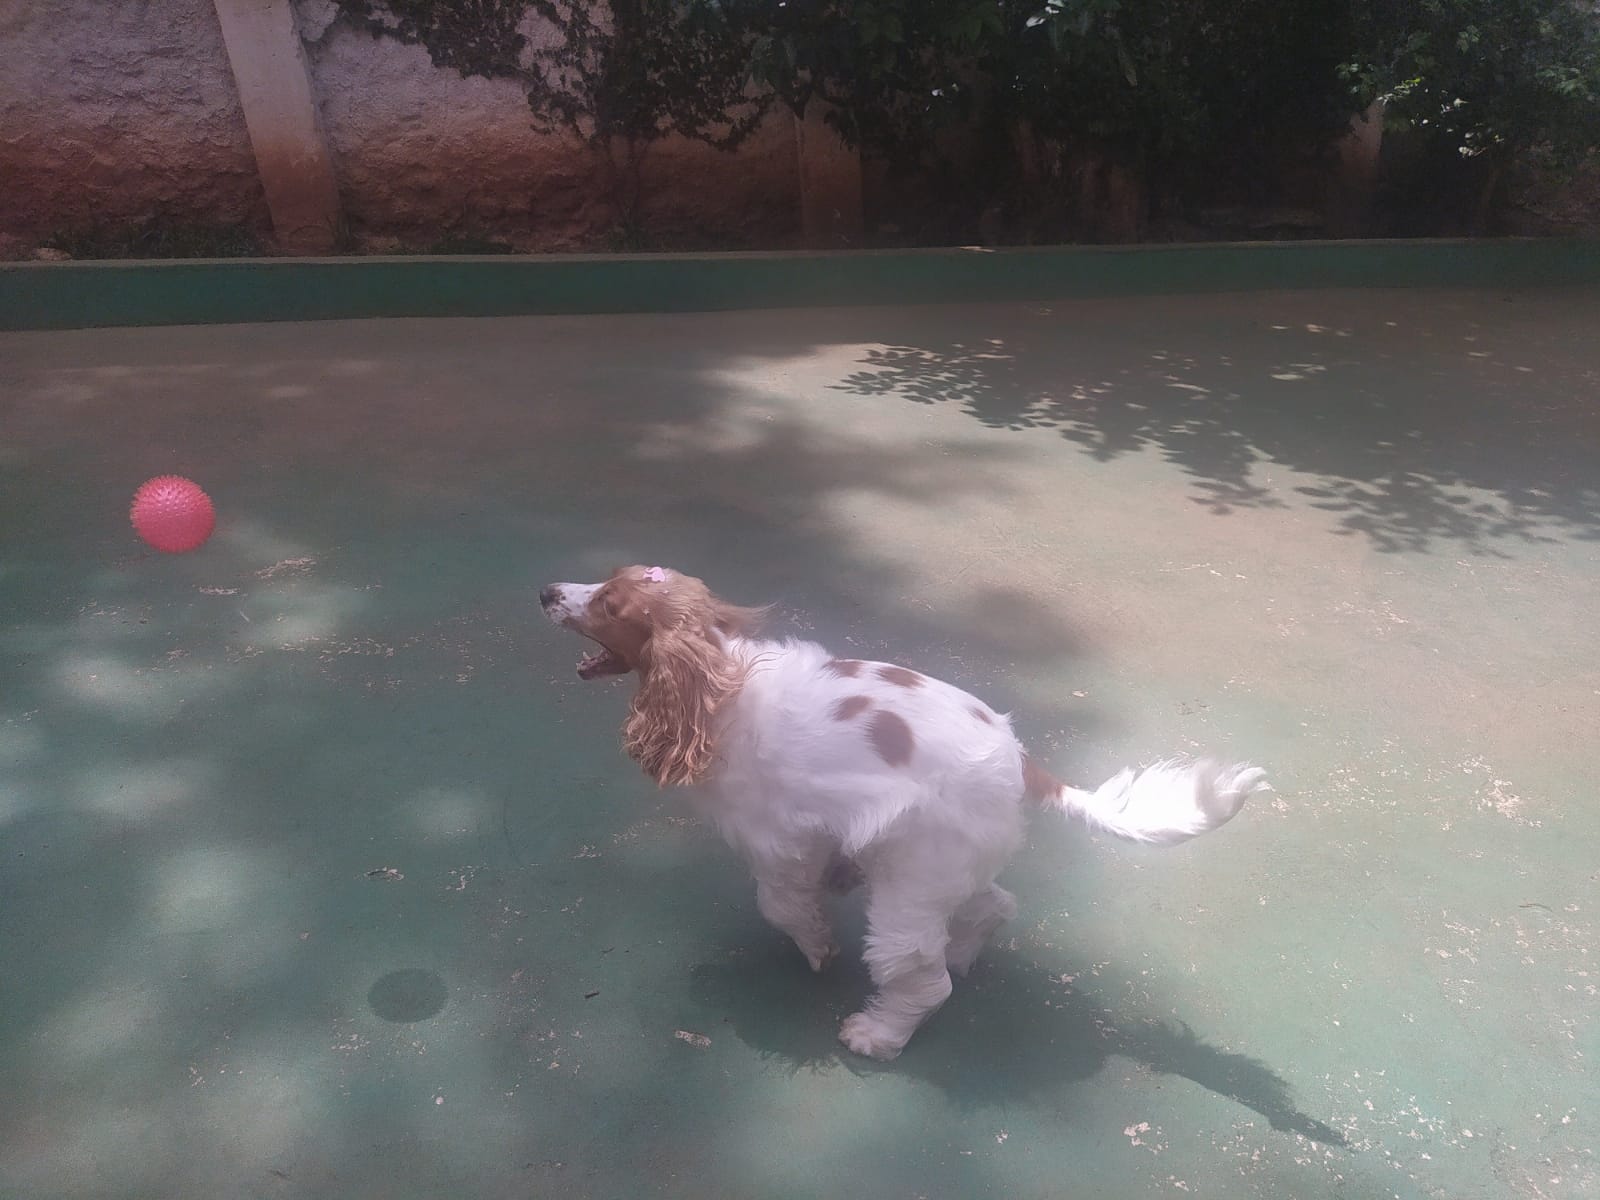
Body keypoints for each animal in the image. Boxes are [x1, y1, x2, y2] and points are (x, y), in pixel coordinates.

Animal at [542, 565, 1266, 1060]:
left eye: (607, 605)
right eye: (608, 581)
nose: (548, 591)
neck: (719, 681)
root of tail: (1021, 760)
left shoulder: (779, 838)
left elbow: (783, 906)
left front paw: (817, 948)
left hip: (907, 894)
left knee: (924, 981)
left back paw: (877, 1033)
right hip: (939, 867)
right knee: (991, 907)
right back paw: (965, 955)